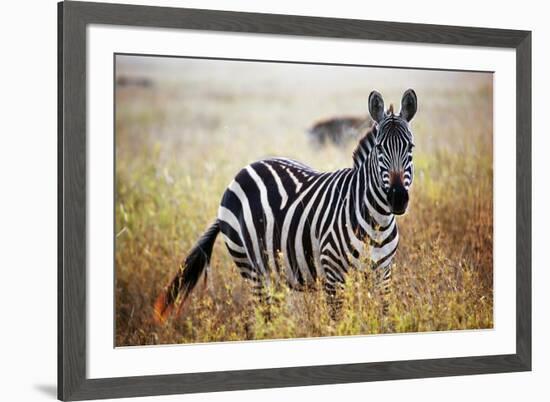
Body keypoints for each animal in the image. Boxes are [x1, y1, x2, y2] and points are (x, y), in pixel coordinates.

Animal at [154, 89, 418, 322]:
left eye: (411, 147)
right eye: (379, 148)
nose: (397, 198)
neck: (377, 221)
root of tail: (246, 169)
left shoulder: (383, 273)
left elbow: (383, 318)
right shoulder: (333, 274)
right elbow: (338, 323)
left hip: (275, 272)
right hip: (252, 268)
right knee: (263, 319)